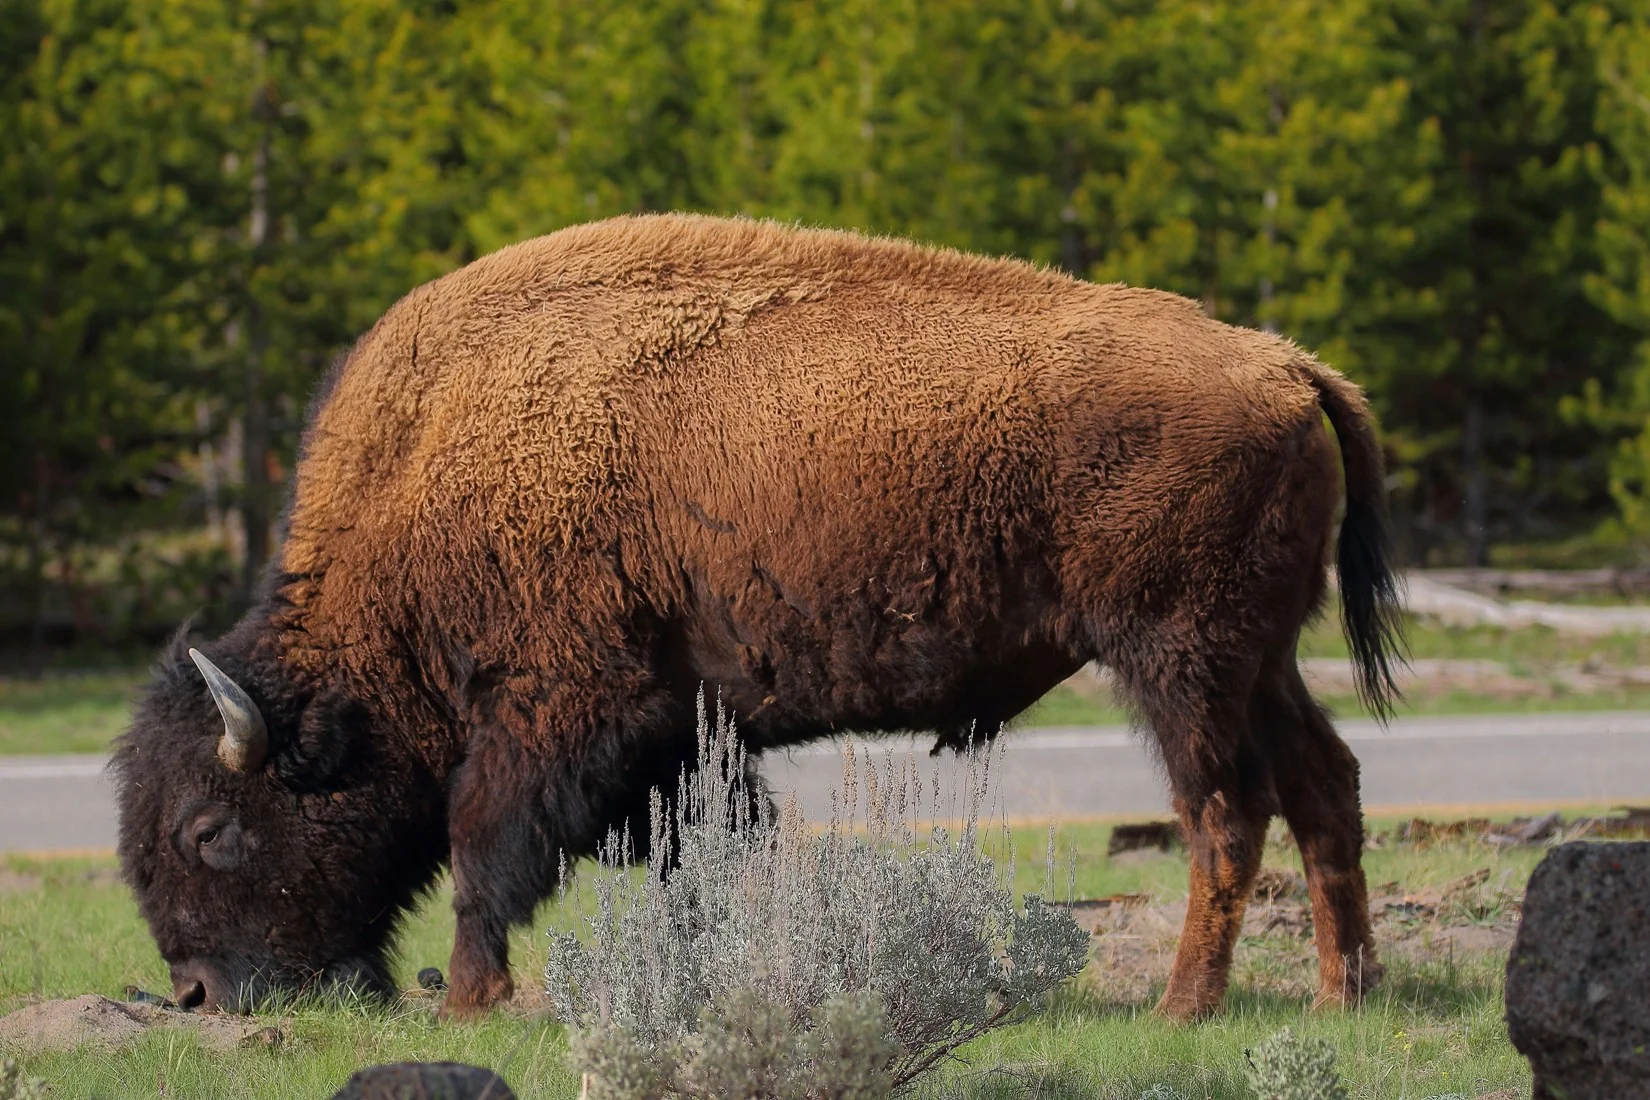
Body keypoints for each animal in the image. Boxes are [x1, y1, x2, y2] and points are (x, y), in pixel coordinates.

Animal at [115, 213, 1403, 1021]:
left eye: (209, 828)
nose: (198, 992)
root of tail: (1282, 363)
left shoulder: (555, 715)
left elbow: (489, 847)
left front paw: (476, 999)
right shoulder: (675, 731)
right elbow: (711, 848)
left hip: (1177, 660)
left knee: (1225, 809)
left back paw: (1186, 1005)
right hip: (1260, 657)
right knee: (1324, 784)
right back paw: (1345, 989)